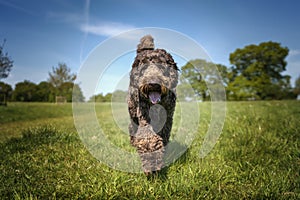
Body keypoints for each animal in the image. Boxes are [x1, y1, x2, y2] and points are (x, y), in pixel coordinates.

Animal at [126, 35, 178, 174]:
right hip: (133, 113)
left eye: (162, 67)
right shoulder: (144, 116)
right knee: (132, 128)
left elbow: (164, 135)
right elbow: (148, 138)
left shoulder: (167, 118)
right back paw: (133, 142)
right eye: (144, 68)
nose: (153, 83)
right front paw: (151, 162)